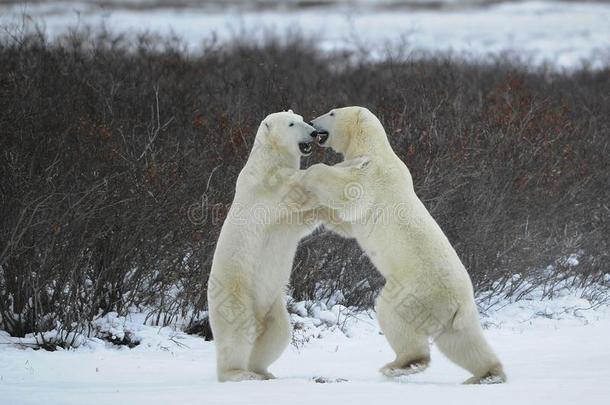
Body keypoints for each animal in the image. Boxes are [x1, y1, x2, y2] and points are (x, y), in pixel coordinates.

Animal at [209, 110, 360, 382]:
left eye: (302, 119)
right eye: (292, 124)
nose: (313, 132)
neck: (269, 158)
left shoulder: (287, 219)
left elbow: (309, 214)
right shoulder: (266, 187)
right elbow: (297, 187)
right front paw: (357, 163)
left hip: (273, 307)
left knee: (277, 334)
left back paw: (263, 372)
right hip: (235, 291)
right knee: (237, 332)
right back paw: (239, 373)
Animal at [306, 105, 506, 384]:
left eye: (332, 113)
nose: (312, 122)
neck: (372, 147)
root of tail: (459, 302)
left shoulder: (373, 174)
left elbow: (349, 192)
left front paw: (310, 174)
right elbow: (346, 223)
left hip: (414, 291)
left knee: (393, 315)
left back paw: (401, 364)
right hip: (454, 317)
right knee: (463, 342)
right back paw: (488, 374)